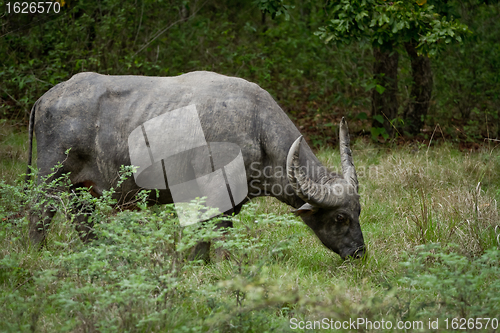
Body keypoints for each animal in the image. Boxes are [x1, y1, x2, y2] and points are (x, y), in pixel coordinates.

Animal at [26, 70, 364, 260]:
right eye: (340, 218)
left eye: (359, 212)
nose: (359, 252)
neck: (257, 128)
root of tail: (46, 98)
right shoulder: (217, 193)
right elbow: (216, 234)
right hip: (49, 178)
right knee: (40, 214)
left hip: (80, 189)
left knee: (83, 221)